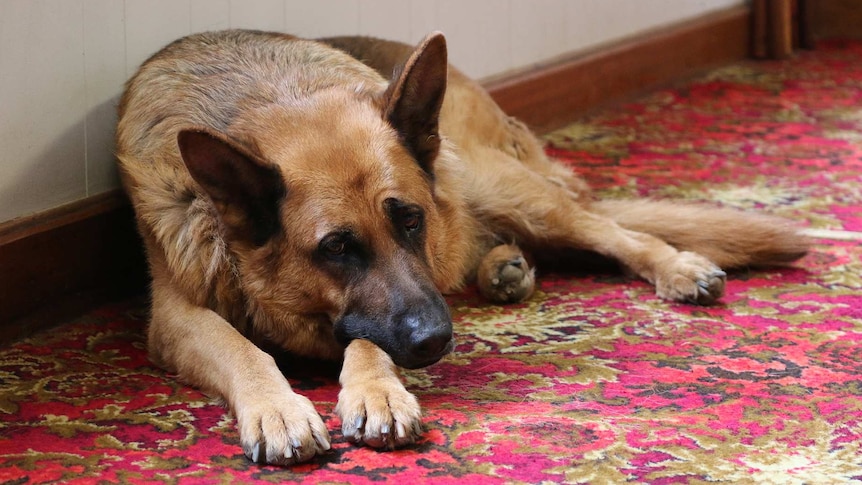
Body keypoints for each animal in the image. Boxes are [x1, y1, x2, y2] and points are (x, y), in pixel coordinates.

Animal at [116, 27, 808, 466]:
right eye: (336, 249)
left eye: (410, 220)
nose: (436, 342)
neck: (271, 98)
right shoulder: (176, 317)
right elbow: (243, 348)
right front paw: (278, 407)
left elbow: (367, 335)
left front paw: (376, 390)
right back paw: (503, 267)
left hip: (495, 183)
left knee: (607, 229)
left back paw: (674, 266)